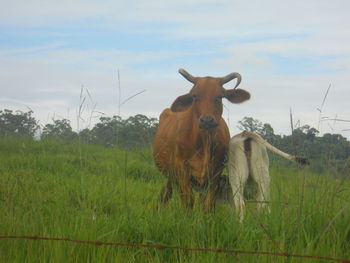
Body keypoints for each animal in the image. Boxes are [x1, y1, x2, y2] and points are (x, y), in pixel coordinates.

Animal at [152, 68, 249, 212]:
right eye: (194, 96)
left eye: (220, 96)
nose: (207, 120)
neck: (204, 142)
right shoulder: (182, 168)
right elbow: (188, 200)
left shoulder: (216, 171)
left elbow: (208, 203)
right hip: (171, 173)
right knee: (167, 193)